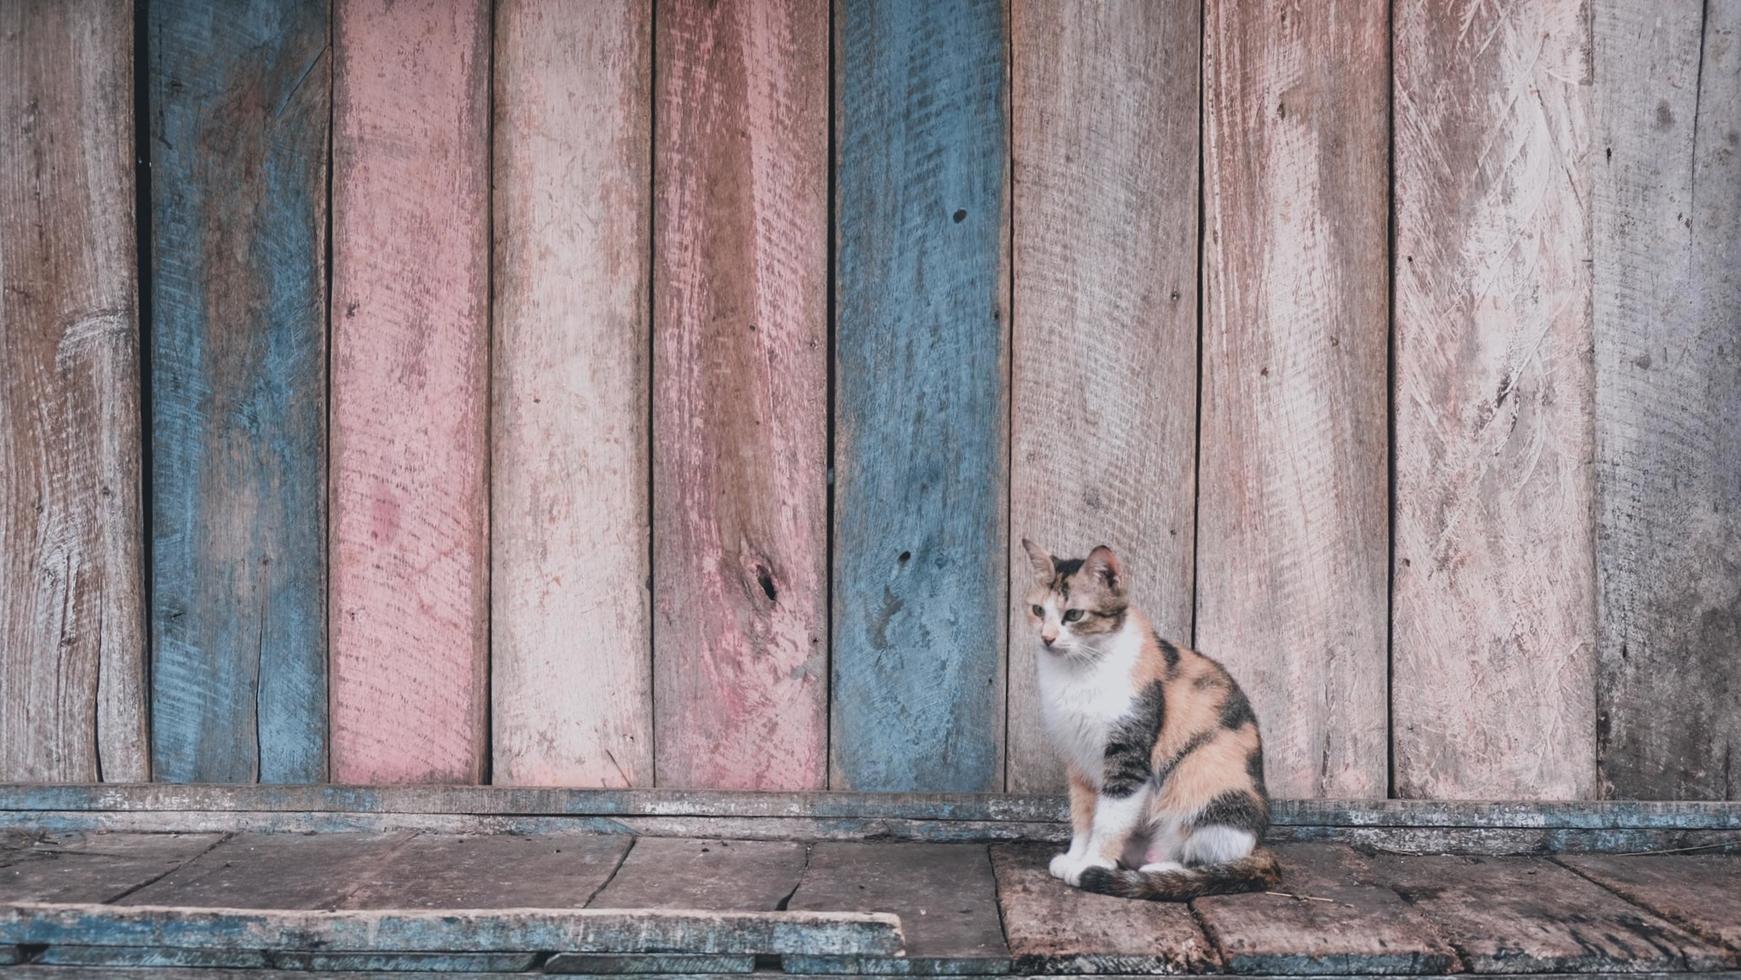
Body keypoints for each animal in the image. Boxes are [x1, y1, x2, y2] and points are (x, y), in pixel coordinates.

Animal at [1016, 539, 1281, 898]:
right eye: (1038, 611)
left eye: (1073, 615)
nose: (1047, 638)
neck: (1078, 673)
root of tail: (1259, 845)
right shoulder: (1078, 759)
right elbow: (1083, 815)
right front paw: (1074, 858)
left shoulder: (1129, 753)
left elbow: (1109, 819)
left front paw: (1090, 865)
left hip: (1214, 796)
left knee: (1210, 858)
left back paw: (1160, 870)